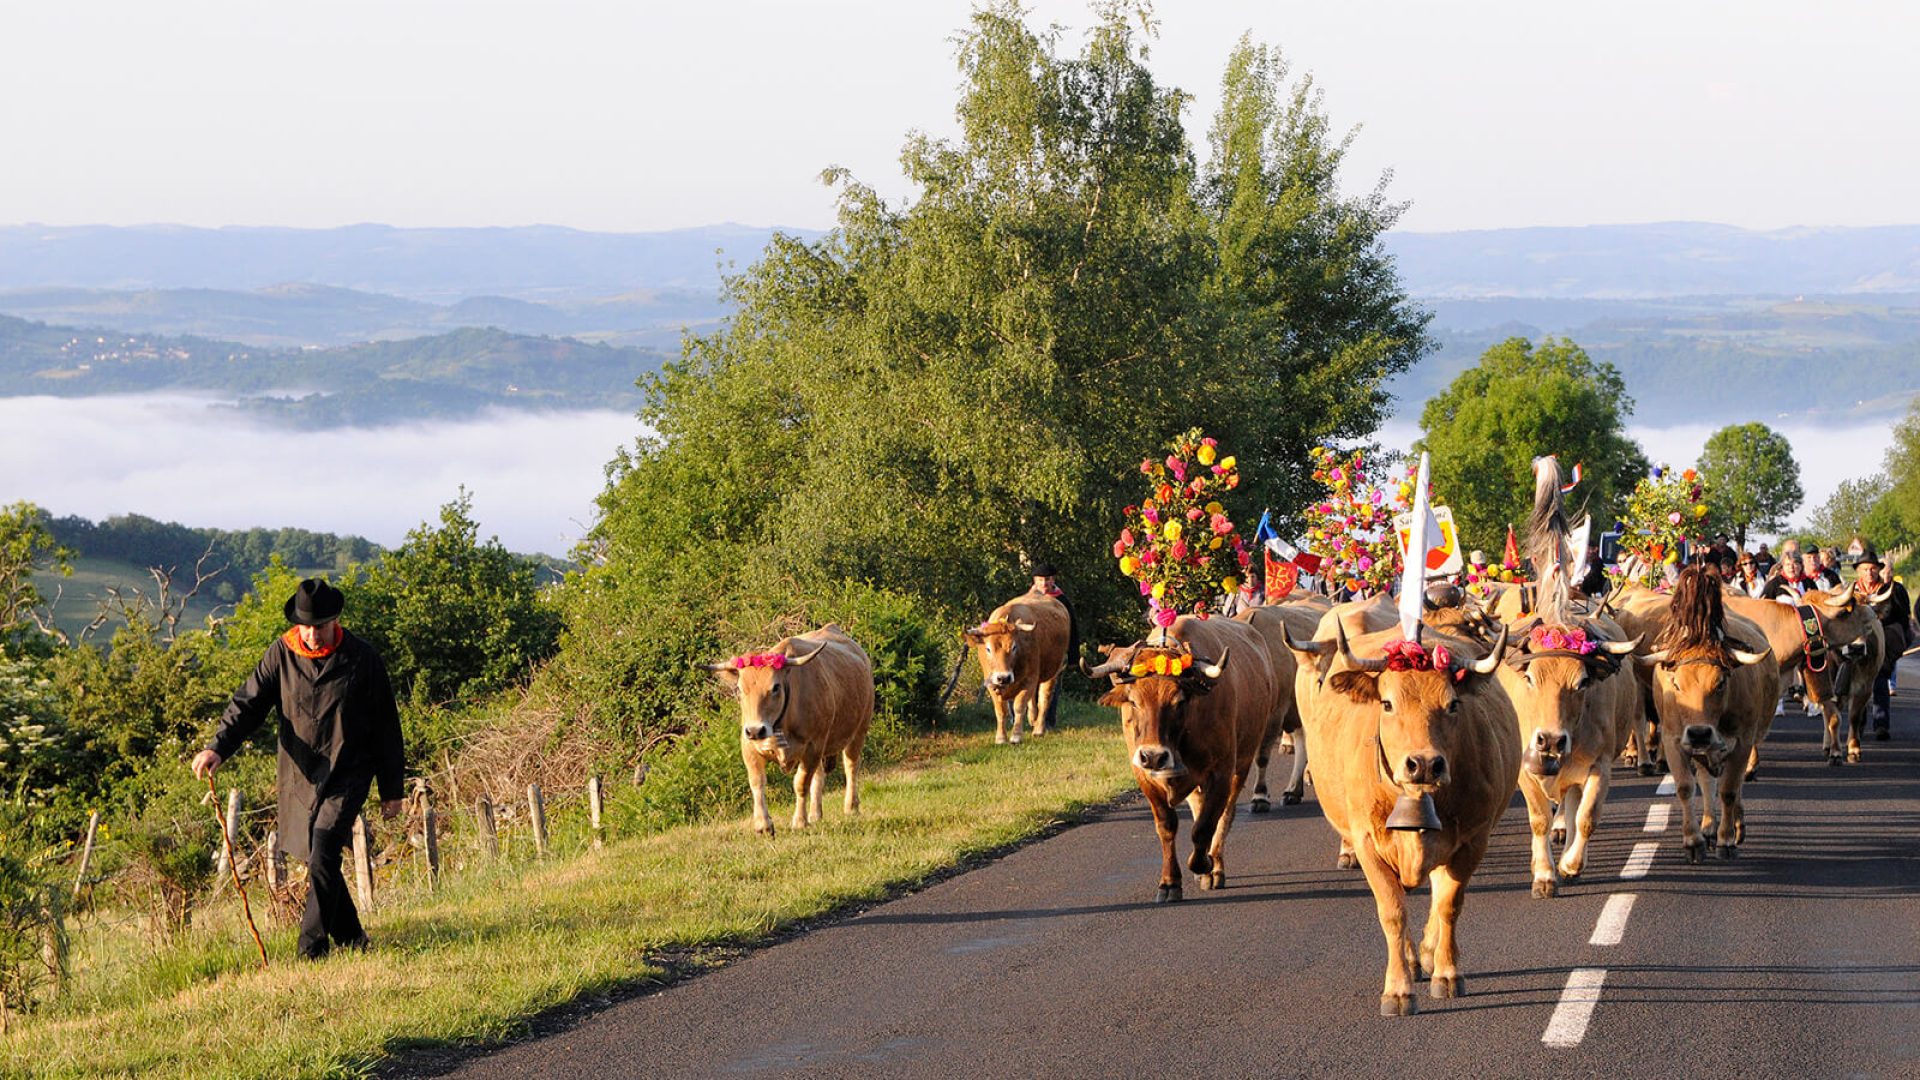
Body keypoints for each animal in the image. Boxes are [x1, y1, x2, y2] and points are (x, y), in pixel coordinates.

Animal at [702, 622, 875, 834]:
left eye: (775, 687)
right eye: (740, 689)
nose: (755, 730)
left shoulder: (812, 747)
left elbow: (800, 783)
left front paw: (799, 821)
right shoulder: (749, 746)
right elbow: (757, 782)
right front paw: (763, 824)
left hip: (858, 731)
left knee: (851, 766)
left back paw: (851, 807)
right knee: (819, 775)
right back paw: (815, 814)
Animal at [967, 591, 1075, 745]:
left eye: (1014, 647)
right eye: (988, 649)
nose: (1003, 677)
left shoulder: (1029, 680)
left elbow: (1019, 707)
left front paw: (1016, 735)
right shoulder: (991, 683)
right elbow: (1000, 711)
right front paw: (1000, 737)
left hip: (1054, 671)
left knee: (1044, 699)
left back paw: (1039, 729)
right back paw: (1032, 718)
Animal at [1090, 614, 1282, 899]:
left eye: (1179, 701)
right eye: (1133, 701)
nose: (1153, 756)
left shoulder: (1221, 773)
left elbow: (1205, 826)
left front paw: (1205, 864)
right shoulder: (1145, 777)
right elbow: (1168, 826)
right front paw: (1170, 882)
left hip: (1243, 764)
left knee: (1225, 815)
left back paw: (1215, 866)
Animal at [1305, 618, 1512, 1014]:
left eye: (1453, 704)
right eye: (1387, 703)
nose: (1425, 764)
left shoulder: (1472, 840)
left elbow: (1448, 905)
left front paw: (1447, 973)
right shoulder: (1366, 843)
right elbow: (1393, 912)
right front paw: (1398, 989)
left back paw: (1429, 955)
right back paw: (1415, 960)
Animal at [1643, 564, 1774, 857]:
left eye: (1721, 682)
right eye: (1676, 684)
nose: (1699, 733)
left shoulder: (1742, 741)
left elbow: (1729, 790)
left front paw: (1726, 840)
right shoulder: (1673, 739)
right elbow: (1686, 787)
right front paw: (1694, 840)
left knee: (1733, 787)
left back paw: (1734, 826)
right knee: (1706, 781)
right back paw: (1708, 826)